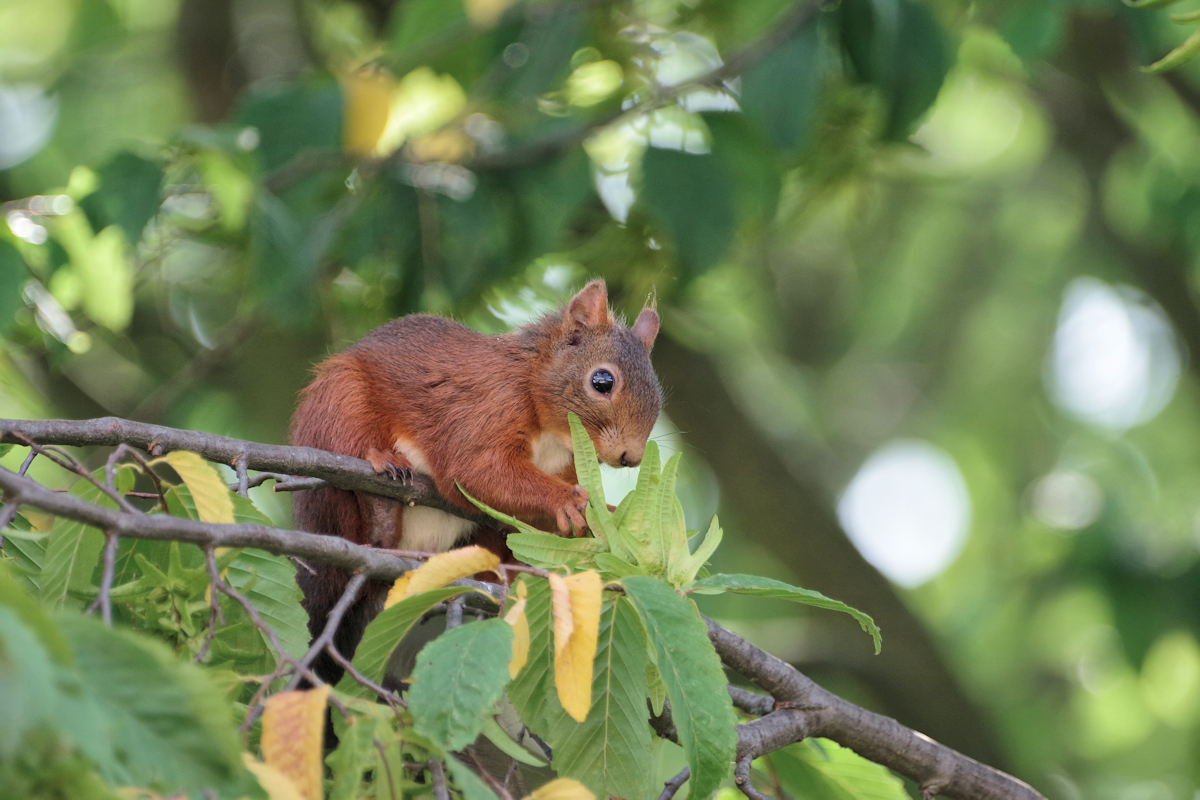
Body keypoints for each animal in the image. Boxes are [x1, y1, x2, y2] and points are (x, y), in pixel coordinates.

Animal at [292, 281, 667, 681]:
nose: (631, 457)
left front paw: (608, 514)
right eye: (602, 381)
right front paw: (571, 501)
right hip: (338, 403)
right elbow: (477, 469)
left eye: (658, 393)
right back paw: (380, 494)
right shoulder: (488, 407)